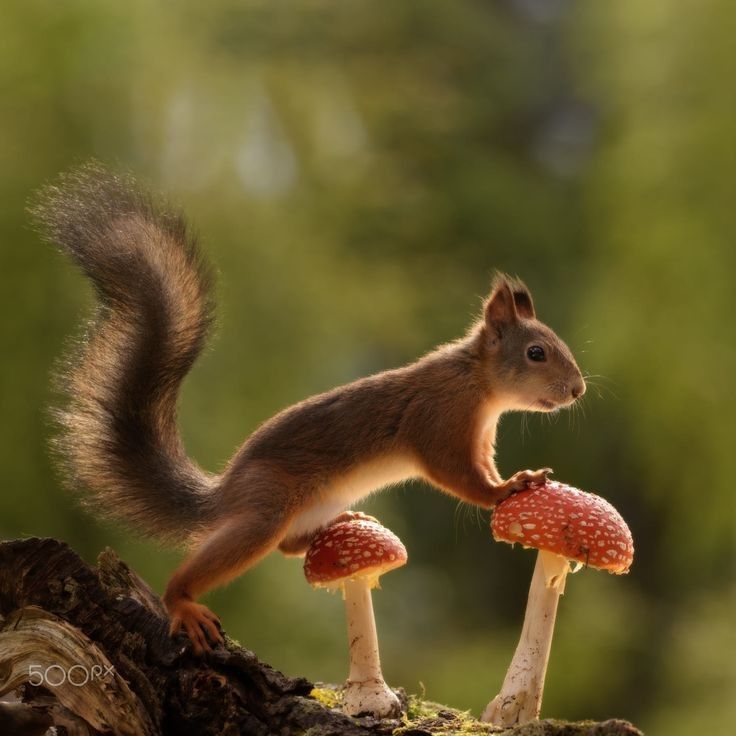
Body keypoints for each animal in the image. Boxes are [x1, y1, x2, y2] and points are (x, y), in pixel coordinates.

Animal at [30, 164, 588, 652]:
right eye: (536, 353)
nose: (578, 390)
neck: (476, 384)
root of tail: (225, 494)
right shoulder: (438, 423)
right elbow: (460, 477)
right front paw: (509, 487)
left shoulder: (479, 435)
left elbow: (479, 467)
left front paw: (515, 479)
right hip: (265, 509)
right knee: (241, 550)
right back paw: (181, 601)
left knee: (288, 546)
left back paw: (333, 526)